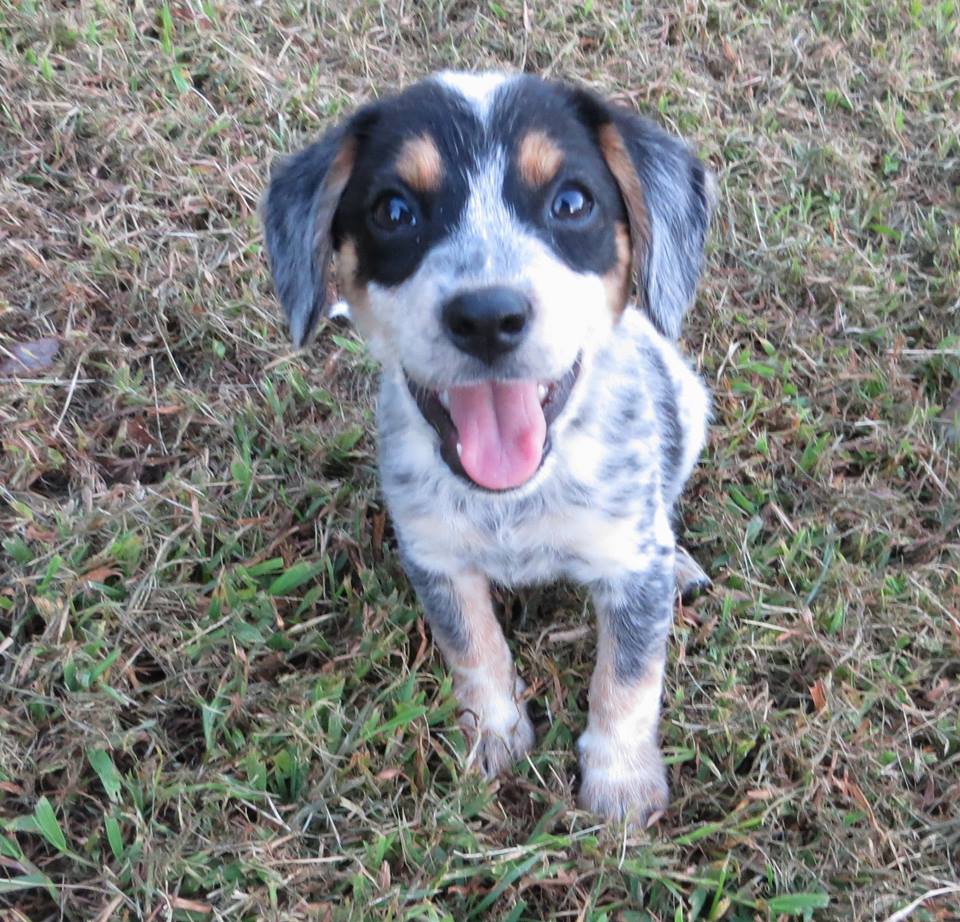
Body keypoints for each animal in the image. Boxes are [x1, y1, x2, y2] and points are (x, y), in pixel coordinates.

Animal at [262, 70, 712, 820]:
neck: (512, 501)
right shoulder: (436, 558)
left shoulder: (627, 565)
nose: (487, 316)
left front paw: (620, 780)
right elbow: (474, 648)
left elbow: (627, 678)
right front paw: (493, 737)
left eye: (571, 202)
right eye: (393, 211)